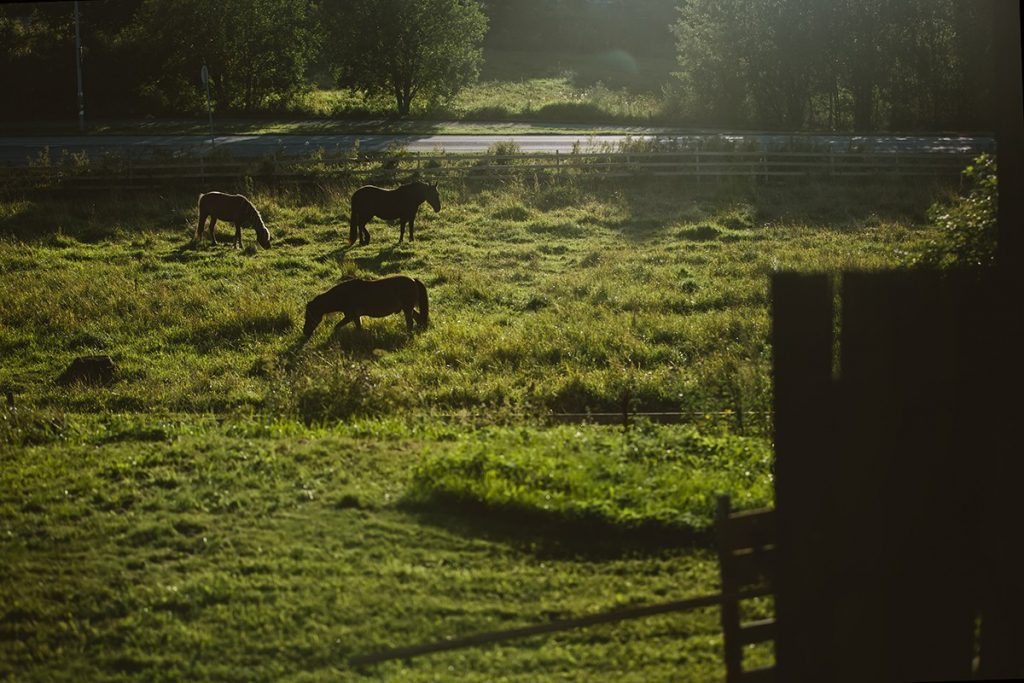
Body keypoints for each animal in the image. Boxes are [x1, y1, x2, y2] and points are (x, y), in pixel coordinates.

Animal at [303, 272, 432, 335]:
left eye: (309, 316)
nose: (305, 332)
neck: (343, 295)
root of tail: (413, 280)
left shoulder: (351, 316)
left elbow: (338, 327)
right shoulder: (355, 317)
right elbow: (355, 328)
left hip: (407, 308)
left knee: (410, 322)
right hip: (408, 308)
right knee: (418, 318)